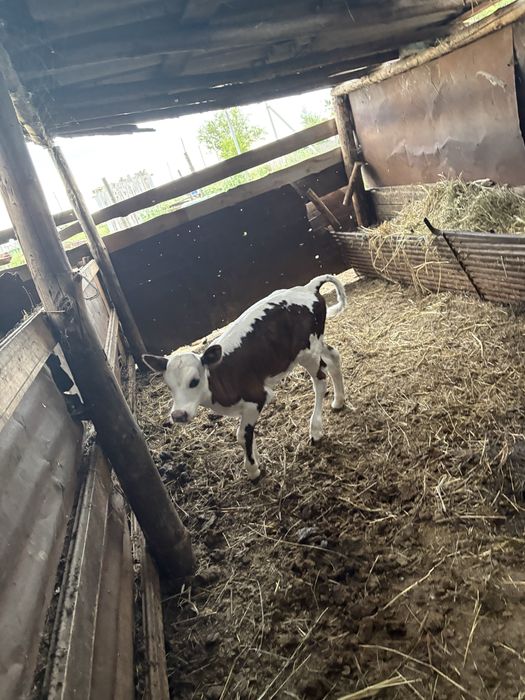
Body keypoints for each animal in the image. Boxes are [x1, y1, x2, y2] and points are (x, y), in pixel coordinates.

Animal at [143, 274, 347, 480]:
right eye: (169, 386)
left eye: (194, 381)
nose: (178, 415)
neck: (218, 380)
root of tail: (308, 287)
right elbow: (249, 434)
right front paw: (256, 460)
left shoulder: (258, 397)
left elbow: (242, 435)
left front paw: (253, 469)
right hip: (317, 344)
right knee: (334, 356)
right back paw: (338, 401)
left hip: (308, 353)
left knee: (320, 381)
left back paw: (316, 429)